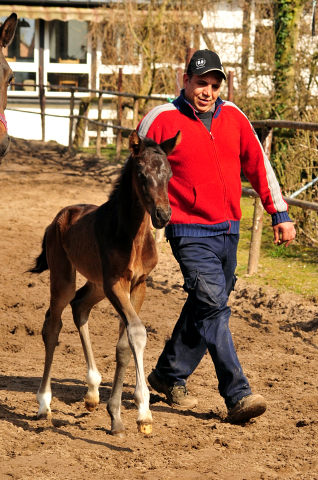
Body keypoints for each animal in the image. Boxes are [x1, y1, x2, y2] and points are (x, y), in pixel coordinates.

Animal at [29, 129, 180, 436]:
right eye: (142, 174)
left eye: (169, 174)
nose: (163, 215)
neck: (132, 236)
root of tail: (58, 218)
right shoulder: (115, 284)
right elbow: (137, 333)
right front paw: (142, 413)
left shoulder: (138, 285)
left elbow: (124, 344)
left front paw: (119, 416)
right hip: (64, 278)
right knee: (53, 324)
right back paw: (44, 403)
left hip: (96, 285)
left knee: (80, 307)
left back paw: (92, 391)